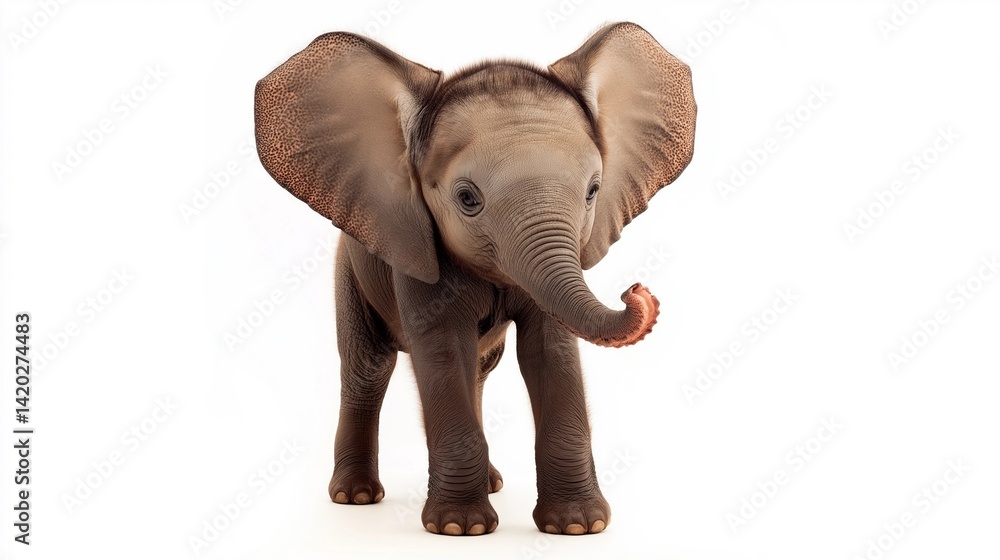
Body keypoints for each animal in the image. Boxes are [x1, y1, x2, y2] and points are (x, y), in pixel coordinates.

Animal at [254, 21, 696, 536]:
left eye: (593, 191)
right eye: (467, 198)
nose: (635, 292)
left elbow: (550, 350)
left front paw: (577, 527)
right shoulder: (417, 255)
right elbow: (444, 351)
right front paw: (459, 528)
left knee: (481, 368)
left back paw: (490, 483)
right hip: (349, 270)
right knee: (369, 368)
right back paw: (356, 496)